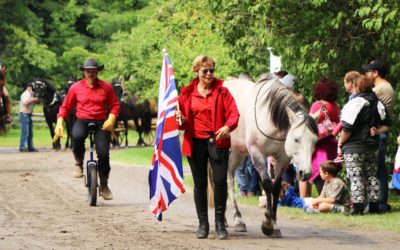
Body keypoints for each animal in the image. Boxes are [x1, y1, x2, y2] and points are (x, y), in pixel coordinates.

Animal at [223, 76, 318, 236]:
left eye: (315, 141)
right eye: (296, 139)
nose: (305, 173)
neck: (268, 118)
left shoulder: (283, 159)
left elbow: (276, 187)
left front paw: (274, 224)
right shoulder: (257, 154)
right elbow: (267, 184)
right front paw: (267, 223)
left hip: (238, 152)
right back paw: (236, 218)